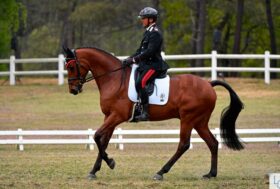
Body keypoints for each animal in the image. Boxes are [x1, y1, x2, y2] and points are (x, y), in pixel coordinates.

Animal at [62, 45, 244, 180]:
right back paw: (211, 174)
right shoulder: (109, 116)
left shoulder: (117, 116)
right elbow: (103, 140)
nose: (73, 90)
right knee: (213, 143)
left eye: (71, 66)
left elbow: (96, 136)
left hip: (188, 119)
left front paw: (111, 162)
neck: (114, 79)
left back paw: (161, 172)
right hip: (200, 121)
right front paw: (94, 170)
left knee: (184, 144)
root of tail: (208, 84)